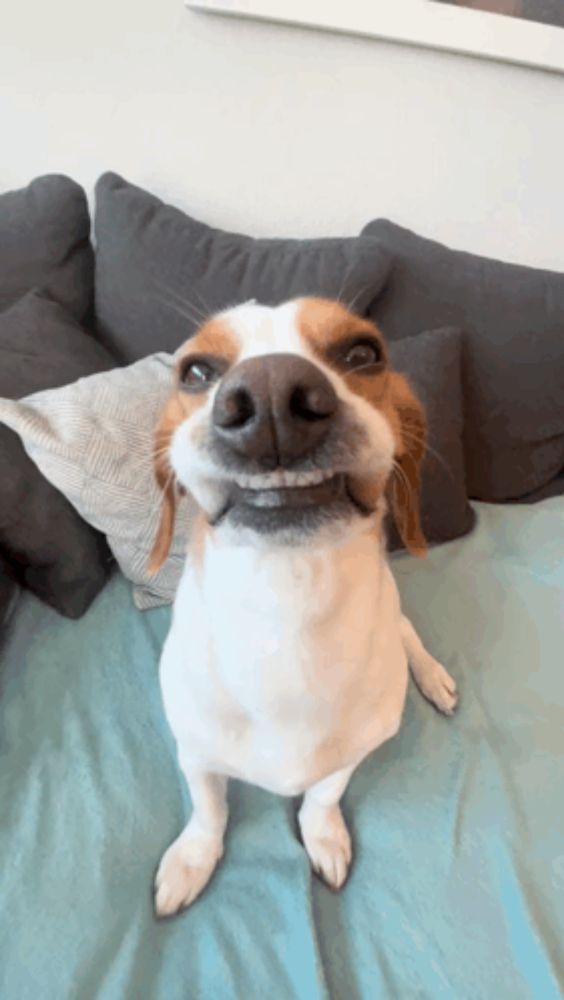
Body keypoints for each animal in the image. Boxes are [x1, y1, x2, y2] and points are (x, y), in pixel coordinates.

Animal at [149, 294, 458, 916]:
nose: (270, 392)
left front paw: (324, 836)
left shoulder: (350, 756)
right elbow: (209, 812)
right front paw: (193, 859)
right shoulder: (195, 754)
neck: (286, 614)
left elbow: (321, 798)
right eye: (196, 371)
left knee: (409, 633)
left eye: (363, 353)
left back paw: (433, 676)